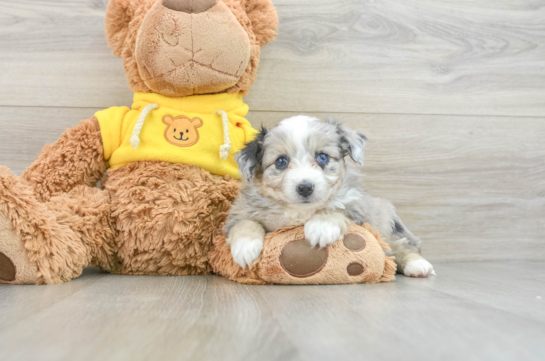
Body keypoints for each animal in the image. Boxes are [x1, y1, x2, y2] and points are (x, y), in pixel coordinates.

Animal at [224, 114, 434, 276]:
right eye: (281, 161)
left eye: (323, 157)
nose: (305, 187)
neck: (300, 211)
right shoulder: (239, 211)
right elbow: (245, 223)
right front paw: (245, 248)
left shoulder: (357, 205)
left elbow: (337, 207)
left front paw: (321, 227)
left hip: (383, 223)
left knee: (399, 245)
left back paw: (418, 265)